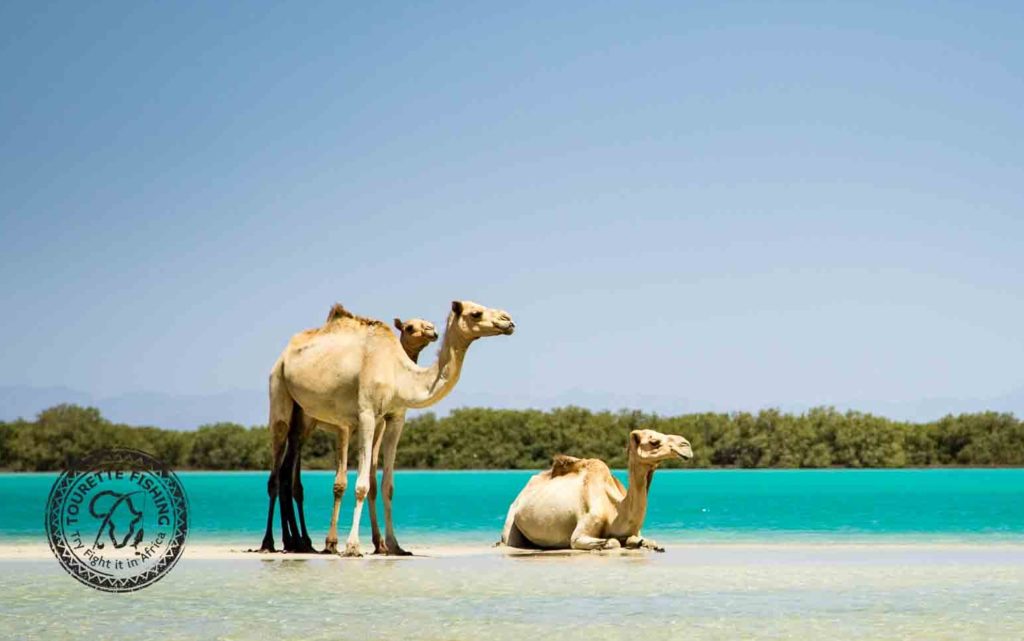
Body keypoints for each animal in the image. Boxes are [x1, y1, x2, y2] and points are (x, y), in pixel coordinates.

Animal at [256, 298, 512, 552]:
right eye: (476, 313)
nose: (508, 320)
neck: (398, 373)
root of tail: (284, 355)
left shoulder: (395, 418)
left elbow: (387, 486)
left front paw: (393, 545)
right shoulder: (366, 414)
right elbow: (360, 485)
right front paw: (352, 546)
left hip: (303, 417)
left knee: (289, 471)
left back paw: (298, 542)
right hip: (278, 391)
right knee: (275, 472)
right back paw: (270, 542)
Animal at [499, 425, 692, 544]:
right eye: (654, 442)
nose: (687, 445)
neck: (615, 511)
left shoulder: (634, 532)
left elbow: (646, 541)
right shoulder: (581, 532)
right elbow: (611, 542)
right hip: (512, 516)